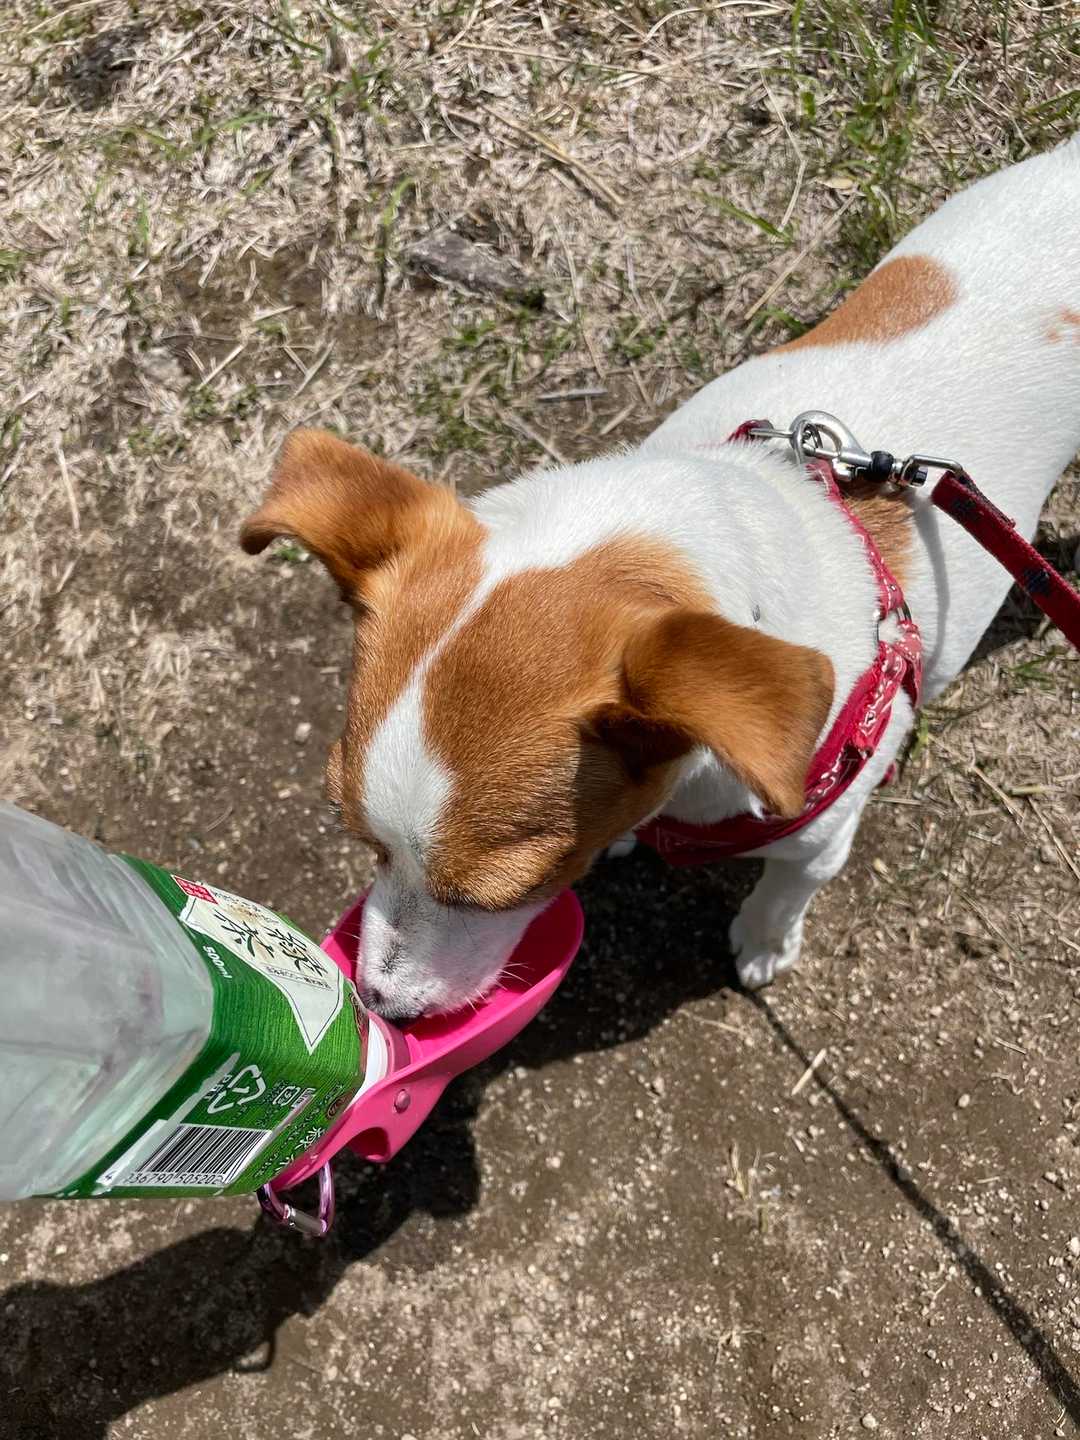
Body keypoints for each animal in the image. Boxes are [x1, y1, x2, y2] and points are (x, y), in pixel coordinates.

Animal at [241, 137, 1080, 1020]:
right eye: (359, 837)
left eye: (503, 891)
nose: (381, 1004)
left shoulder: (820, 840)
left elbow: (784, 892)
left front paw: (764, 942)